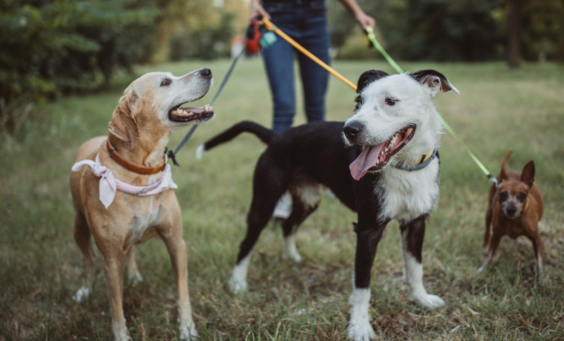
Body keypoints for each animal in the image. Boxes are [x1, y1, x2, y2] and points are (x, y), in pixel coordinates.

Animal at [69, 67, 214, 338]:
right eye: (165, 82)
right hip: (79, 226)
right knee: (88, 260)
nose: (207, 70)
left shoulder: (176, 242)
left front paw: (187, 327)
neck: (143, 171)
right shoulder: (111, 261)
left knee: (131, 249)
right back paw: (84, 290)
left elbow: (182, 291)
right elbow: (116, 309)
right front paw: (121, 336)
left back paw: (134, 275)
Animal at [198, 68, 458, 338]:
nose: (350, 130)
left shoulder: (416, 223)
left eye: (391, 101)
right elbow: (362, 285)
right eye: (359, 101)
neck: (405, 166)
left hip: (308, 200)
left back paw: (291, 257)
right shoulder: (367, 230)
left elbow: (416, 267)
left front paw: (421, 299)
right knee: (247, 243)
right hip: (264, 202)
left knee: (288, 225)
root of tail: (277, 136)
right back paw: (238, 283)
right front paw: (359, 326)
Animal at [478, 150, 544, 280]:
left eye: (522, 195)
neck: (514, 220)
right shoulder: (496, 236)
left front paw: (542, 278)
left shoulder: (536, 238)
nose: (511, 209)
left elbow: (539, 260)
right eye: (503, 194)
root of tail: (508, 171)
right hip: (488, 214)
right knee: (487, 231)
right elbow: (490, 256)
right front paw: (484, 269)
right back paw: (485, 247)